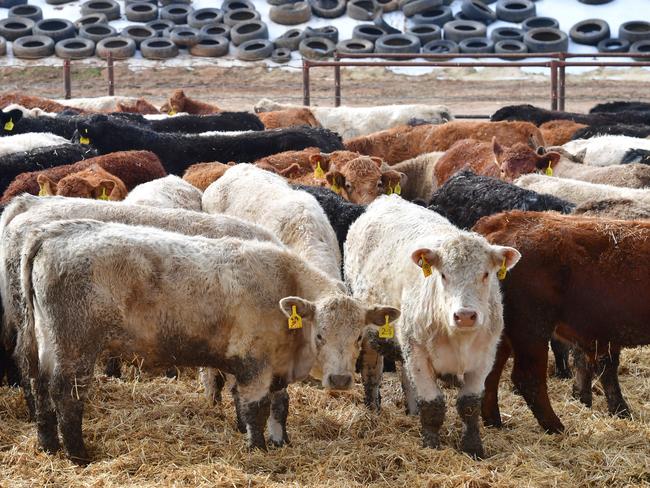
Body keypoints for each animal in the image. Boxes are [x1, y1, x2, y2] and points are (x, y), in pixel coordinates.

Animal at [470, 212, 648, 432]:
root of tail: (503, 221)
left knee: (490, 374)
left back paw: (494, 421)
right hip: (532, 328)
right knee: (528, 377)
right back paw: (556, 426)